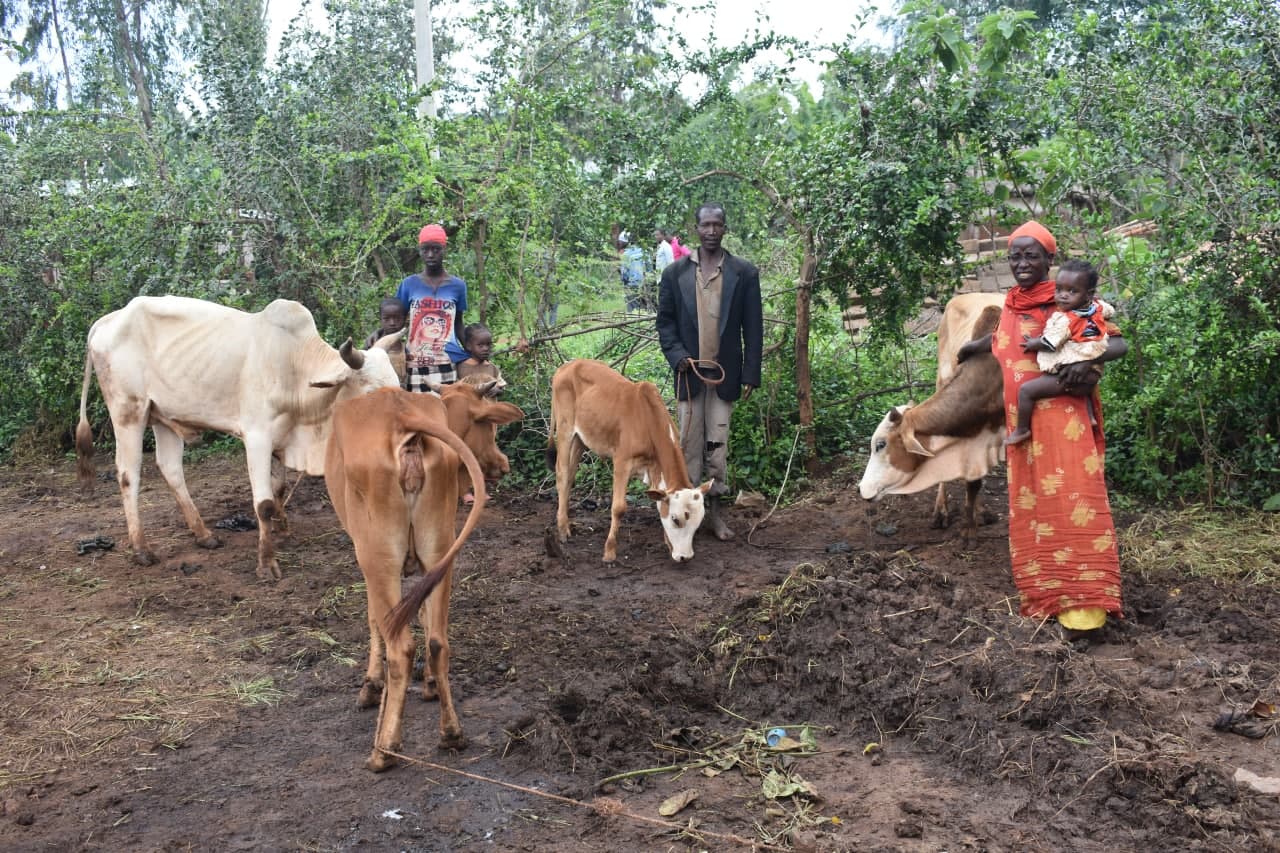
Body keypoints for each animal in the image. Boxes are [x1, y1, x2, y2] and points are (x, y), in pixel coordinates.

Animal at [73, 295, 399, 581]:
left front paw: (282, 528)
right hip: (128, 412)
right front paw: (267, 565)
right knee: (129, 474)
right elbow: (263, 503)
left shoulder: (280, 440)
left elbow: (279, 488)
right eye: (370, 393)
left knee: (170, 468)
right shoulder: (256, 437)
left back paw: (204, 535)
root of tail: (108, 320)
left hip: (163, 416)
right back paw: (142, 550)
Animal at [325, 384, 488, 768]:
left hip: (378, 557)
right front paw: (428, 685)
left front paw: (371, 686)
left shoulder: (365, 558)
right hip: (439, 551)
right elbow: (425, 619)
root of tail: (402, 416)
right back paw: (451, 734)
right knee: (438, 642)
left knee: (401, 646)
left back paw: (384, 750)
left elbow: (373, 620)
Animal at [547, 361, 716, 563]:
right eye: (676, 519)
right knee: (562, 474)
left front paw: (668, 543)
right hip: (565, 429)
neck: (647, 421)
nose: (685, 557)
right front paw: (609, 552)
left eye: (698, 522)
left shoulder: (654, 467)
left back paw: (566, 521)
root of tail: (567, 365)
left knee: (571, 475)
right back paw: (562, 529)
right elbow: (619, 507)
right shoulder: (622, 461)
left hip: (581, 438)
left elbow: (658, 502)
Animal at [860, 292, 1008, 545]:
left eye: (880, 444)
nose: (862, 488)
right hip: (940, 378)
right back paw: (943, 513)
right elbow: (972, 480)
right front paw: (969, 530)